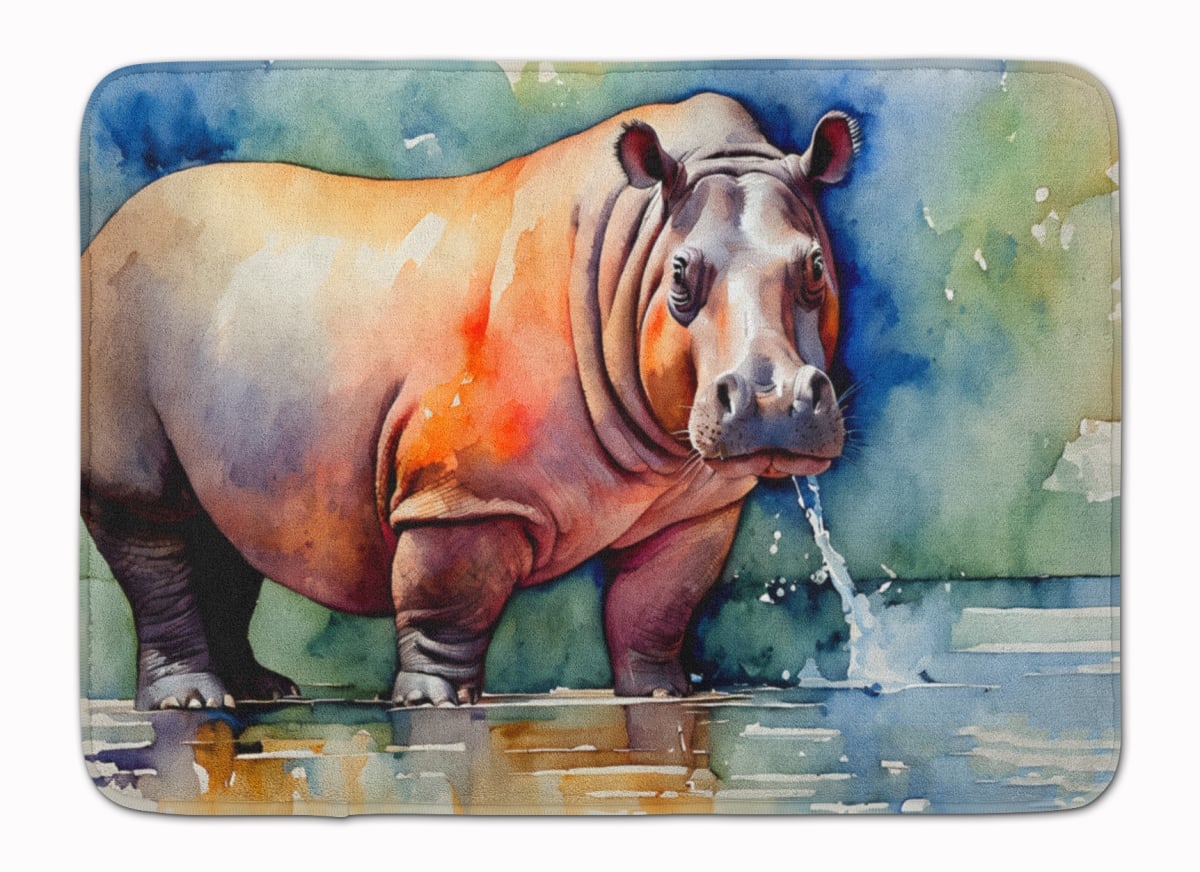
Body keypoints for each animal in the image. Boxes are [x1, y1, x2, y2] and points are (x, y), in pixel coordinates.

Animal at [81, 92, 856, 710]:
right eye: (681, 276)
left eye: (817, 267)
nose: (773, 402)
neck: (634, 249)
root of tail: (102, 233)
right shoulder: (461, 492)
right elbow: (448, 600)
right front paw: (434, 704)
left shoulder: (696, 504)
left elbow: (658, 605)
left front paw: (661, 695)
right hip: (117, 314)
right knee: (148, 516)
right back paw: (188, 704)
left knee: (224, 525)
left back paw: (266, 693)